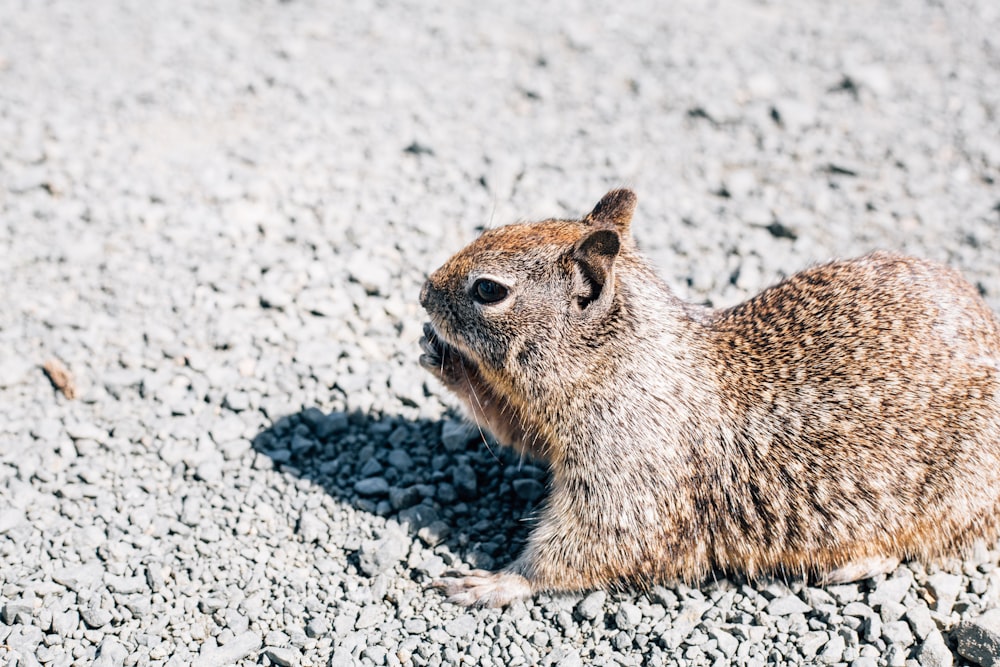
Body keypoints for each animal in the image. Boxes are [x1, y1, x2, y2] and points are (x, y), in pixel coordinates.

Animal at [416, 189, 1000, 612]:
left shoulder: (630, 477)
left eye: (489, 290)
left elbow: (590, 546)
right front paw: (446, 360)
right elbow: (518, 433)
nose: (422, 294)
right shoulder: (547, 425)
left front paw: (497, 582)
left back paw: (854, 563)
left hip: (951, 499)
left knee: (916, 547)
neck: (625, 363)